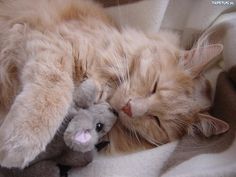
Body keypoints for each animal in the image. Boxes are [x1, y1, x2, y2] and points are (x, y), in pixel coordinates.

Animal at [0, 0, 230, 169]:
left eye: (157, 121)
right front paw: (22, 139)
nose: (129, 108)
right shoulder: (52, 42)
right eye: (154, 85)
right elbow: (53, 90)